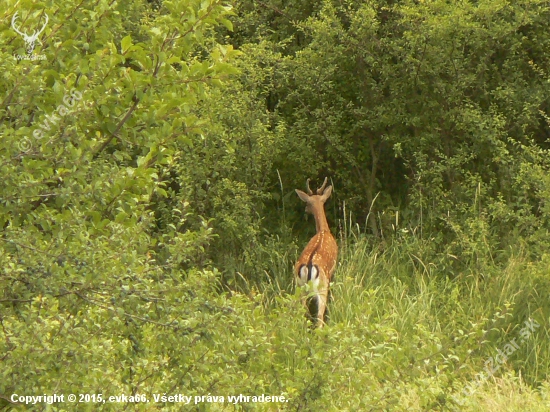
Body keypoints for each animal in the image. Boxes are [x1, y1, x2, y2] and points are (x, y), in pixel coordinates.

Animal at [296, 177, 338, 328]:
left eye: (308, 202)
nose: (305, 209)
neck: (323, 230)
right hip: (321, 287)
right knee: (319, 317)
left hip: (299, 286)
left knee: (303, 312)